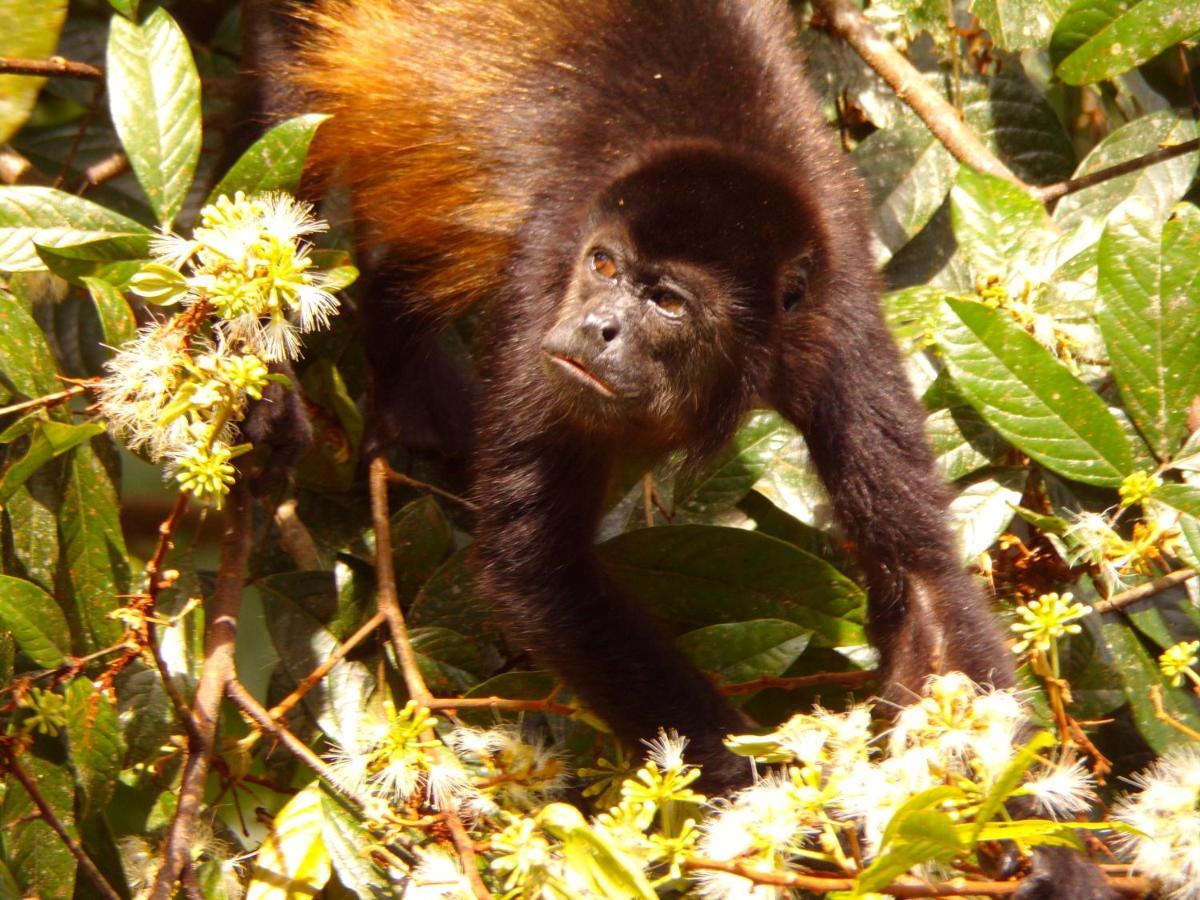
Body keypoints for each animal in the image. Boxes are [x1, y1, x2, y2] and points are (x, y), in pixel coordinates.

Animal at [229, 1, 1108, 897]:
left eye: (668, 303)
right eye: (603, 266)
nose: (595, 327)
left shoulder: (841, 312)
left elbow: (921, 575)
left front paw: (1053, 854)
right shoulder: (545, 274)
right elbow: (538, 565)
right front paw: (787, 811)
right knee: (289, 138)